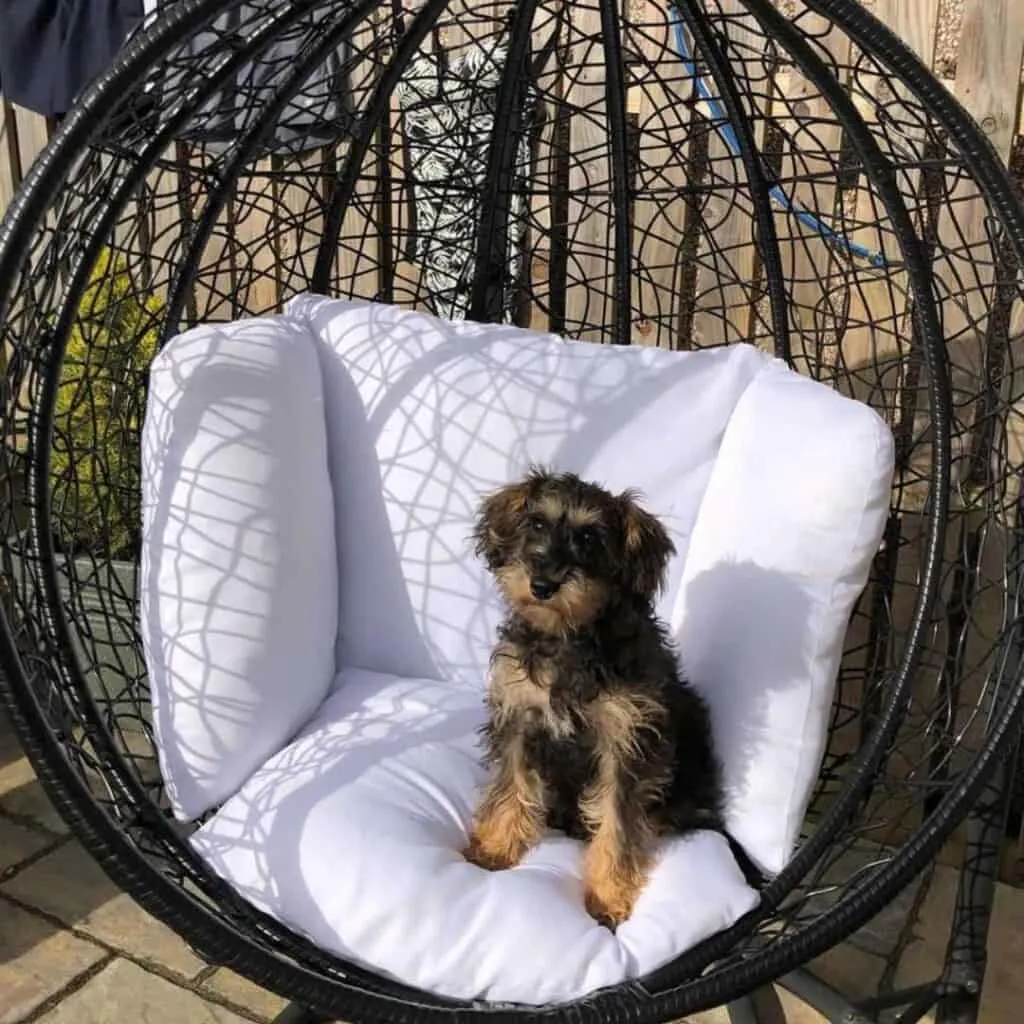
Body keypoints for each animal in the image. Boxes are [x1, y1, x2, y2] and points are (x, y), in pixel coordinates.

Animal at [464, 468, 729, 933]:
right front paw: (496, 847)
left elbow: (617, 825)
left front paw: (608, 895)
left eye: (589, 537)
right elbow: (511, 787)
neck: (569, 637)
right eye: (536, 523)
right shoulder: (520, 719)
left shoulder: (626, 743)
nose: (542, 585)